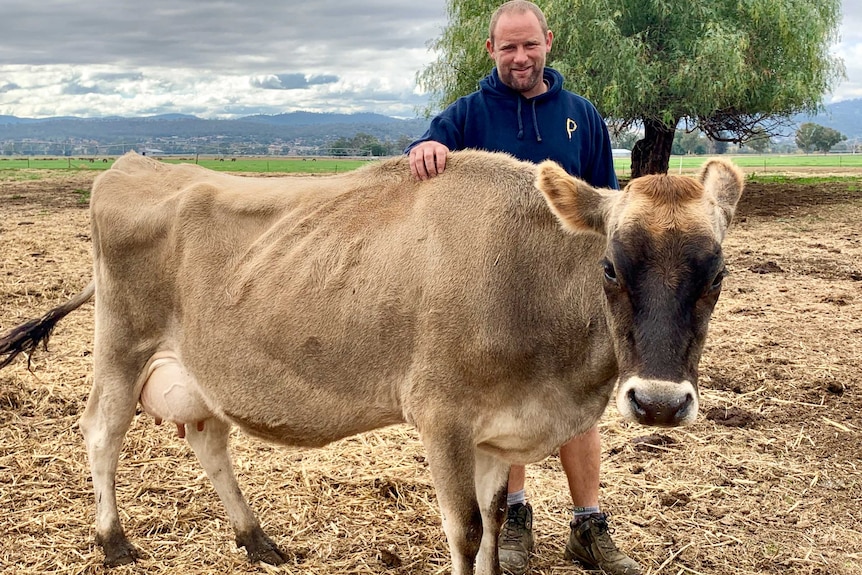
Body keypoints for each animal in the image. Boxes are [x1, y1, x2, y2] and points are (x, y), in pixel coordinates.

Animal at [0, 152, 744, 575]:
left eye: (717, 274)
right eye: (610, 267)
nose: (659, 401)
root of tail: (133, 163)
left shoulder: (497, 432)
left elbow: (493, 527)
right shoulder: (443, 416)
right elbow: (466, 532)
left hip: (204, 371)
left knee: (209, 442)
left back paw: (255, 538)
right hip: (121, 345)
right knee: (101, 432)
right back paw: (113, 540)